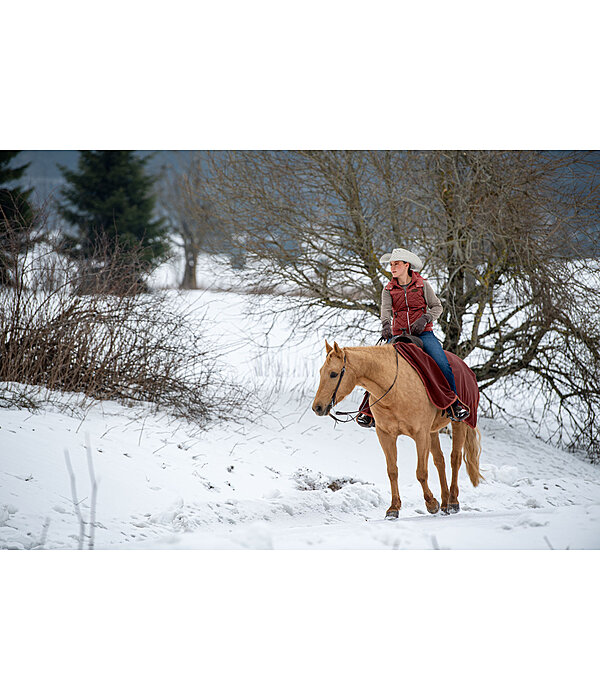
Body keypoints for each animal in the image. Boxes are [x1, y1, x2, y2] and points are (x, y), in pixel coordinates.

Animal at [312, 342, 480, 516]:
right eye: (321, 372)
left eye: (333, 374)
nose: (317, 407)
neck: (394, 391)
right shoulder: (386, 435)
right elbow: (392, 471)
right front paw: (394, 508)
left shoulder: (420, 435)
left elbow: (421, 472)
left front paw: (431, 503)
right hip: (433, 432)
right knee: (440, 460)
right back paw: (445, 502)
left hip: (460, 423)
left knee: (455, 458)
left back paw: (453, 502)